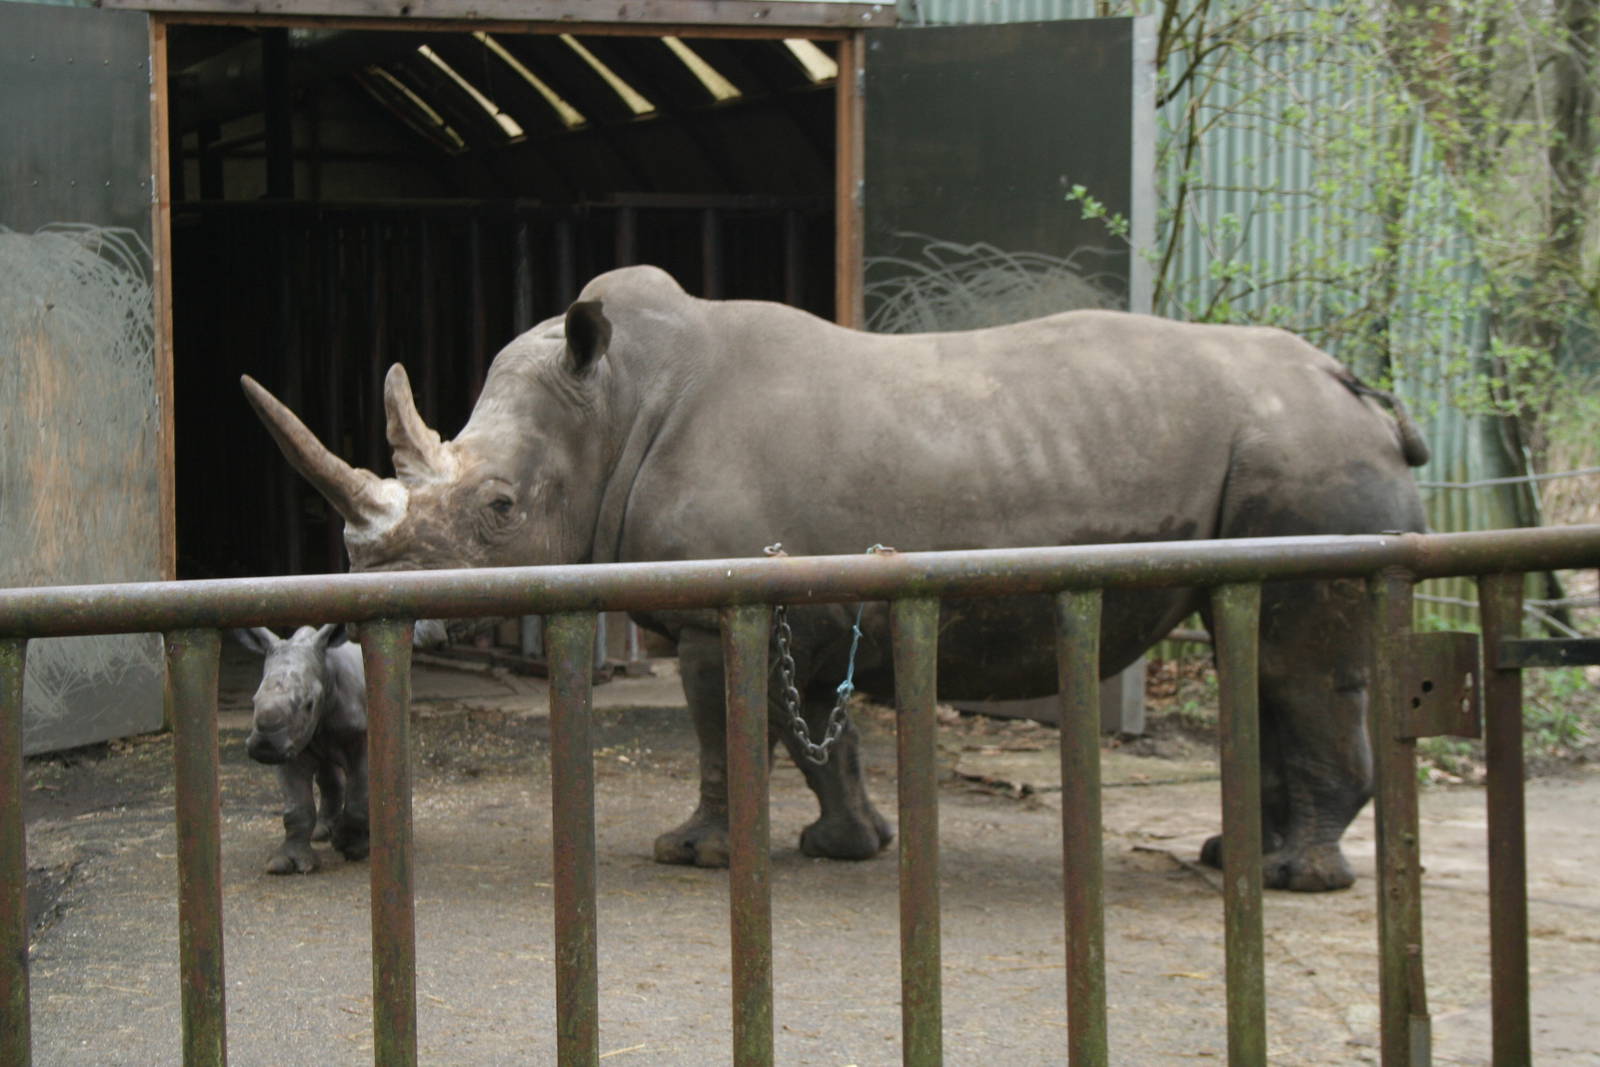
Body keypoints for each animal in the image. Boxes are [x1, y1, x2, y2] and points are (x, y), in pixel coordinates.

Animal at [235, 624, 369, 874]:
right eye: (254, 700)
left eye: (309, 704)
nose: (265, 746)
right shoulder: (290, 742)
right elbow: (297, 805)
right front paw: (286, 864)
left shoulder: (361, 734)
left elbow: (360, 792)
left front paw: (349, 846)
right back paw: (321, 832)